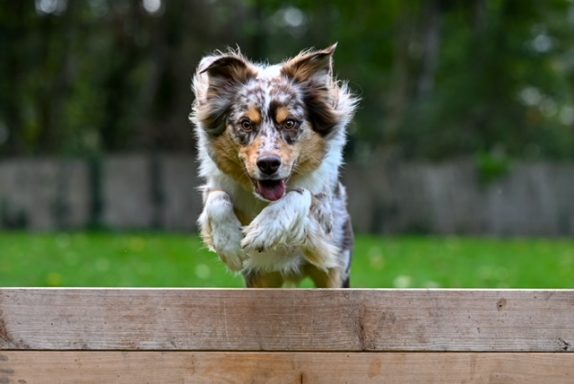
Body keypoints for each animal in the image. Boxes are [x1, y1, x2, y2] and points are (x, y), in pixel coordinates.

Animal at [191, 43, 358, 286]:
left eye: (290, 123)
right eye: (246, 124)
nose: (268, 164)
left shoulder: (324, 220)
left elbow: (301, 194)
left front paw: (264, 229)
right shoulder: (216, 187)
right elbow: (217, 198)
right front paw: (230, 245)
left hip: (336, 272)